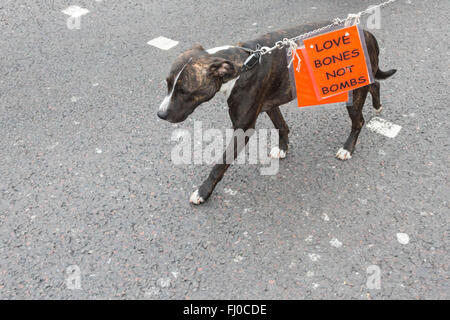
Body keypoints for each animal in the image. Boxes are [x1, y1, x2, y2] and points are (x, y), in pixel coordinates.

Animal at [156, 21, 396, 205]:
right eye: (167, 84)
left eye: (185, 91)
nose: (160, 114)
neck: (241, 67)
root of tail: (367, 32)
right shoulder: (270, 104)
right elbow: (282, 126)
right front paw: (283, 148)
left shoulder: (242, 128)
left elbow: (220, 164)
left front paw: (203, 191)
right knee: (375, 84)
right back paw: (377, 105)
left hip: (351, 92)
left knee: (359, 120)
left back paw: (347, 148)